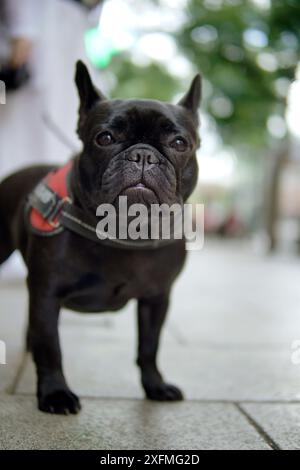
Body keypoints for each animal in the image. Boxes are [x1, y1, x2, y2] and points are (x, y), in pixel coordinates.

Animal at [0, 61, 202, 414]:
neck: (127, 229)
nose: (143, 155)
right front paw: (55, 393)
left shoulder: (156, 298)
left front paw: (155, 385)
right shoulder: (47, 293)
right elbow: (51, 347)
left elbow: (150, 346)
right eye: (104, 138)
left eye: (180, 143)